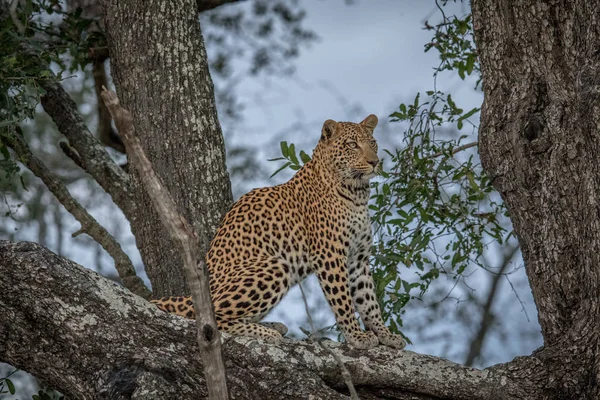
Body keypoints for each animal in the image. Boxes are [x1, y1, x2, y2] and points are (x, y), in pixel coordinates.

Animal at [152, 114, 408, 348]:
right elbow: (343, 299)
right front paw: (357, 336)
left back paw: (272, 325)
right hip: (274, 266)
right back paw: (266, 332)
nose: (375, 162)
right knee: (211, 319)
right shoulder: (330, 255)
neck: (357, 194)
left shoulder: (358, 257)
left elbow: (368, 300)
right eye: (352, 145)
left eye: (372, 143)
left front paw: (386, 335)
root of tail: (188, 295)